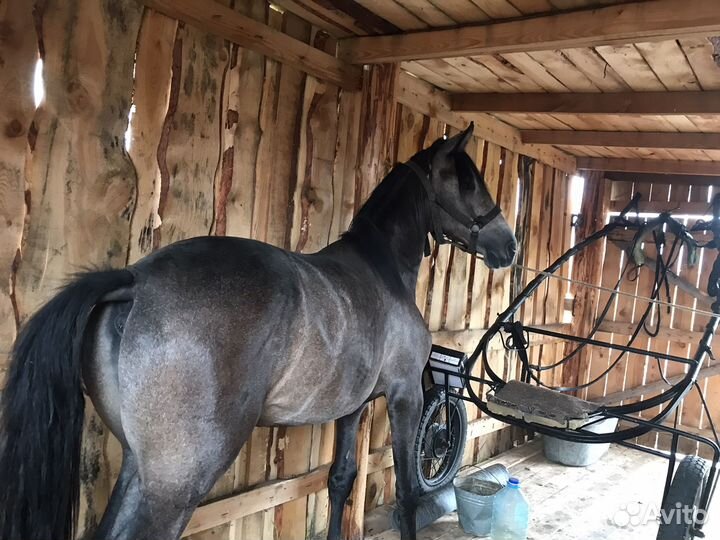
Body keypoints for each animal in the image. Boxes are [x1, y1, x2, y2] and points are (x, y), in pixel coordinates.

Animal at [0, 123, 516, 540]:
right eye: (468, 181)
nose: (509, 246)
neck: (382, 267)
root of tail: (135, 281)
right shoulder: (406, 393)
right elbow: (408, 495)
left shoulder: (351, 408)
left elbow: (341, 480)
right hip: (174, 485)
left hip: (139, 467)